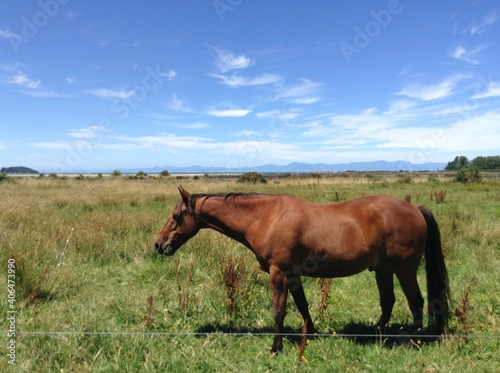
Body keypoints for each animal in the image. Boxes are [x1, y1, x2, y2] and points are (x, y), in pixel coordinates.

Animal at [155, 186, 450, 352]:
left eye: (177, 216)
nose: (159, 244)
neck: (266, 217)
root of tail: (414, 208)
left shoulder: (279, 273)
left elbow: (279, 310)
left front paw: (275, 347)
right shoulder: (293, 275)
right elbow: (303, 306)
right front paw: (312, 334)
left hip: (405, 269)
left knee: (416, 302)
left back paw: (413, 342)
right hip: (383, 269)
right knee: (388, 301)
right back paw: (379, 335)